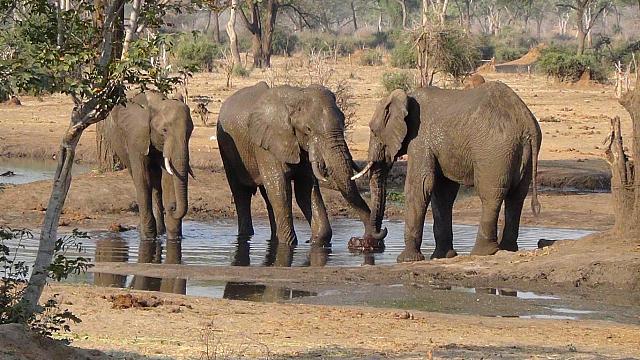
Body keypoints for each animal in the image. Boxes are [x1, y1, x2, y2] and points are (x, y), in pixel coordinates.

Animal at [105, 91, 192, 240]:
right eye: (164, 130)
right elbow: (143, 178)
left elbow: (169, 179)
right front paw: (148, 237)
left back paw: (161, 231)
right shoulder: (136, 137)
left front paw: (174, 237)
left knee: (157, 184)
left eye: (190, 131)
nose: (172, 207)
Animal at [216, 81, 384, 250]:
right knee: (241, 193)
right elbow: (281, 189)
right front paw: (288, 244)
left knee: (267, 196)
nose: (358, 240)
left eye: (343, 123)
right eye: (308, 129)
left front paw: (315, 241)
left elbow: (305, 190)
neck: (296, 97)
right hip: (227, 148)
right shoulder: (267, 144)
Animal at [358, 81, 544, 262]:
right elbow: (442, 193)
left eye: (373, 131)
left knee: (490, 195)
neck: (406, 96)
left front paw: (406, 260)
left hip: (494, 150)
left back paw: (482, 253)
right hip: (519, 152)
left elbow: (420, 186)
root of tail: (527, 122)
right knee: (516, 197)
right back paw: (508, 249)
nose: (382, 231)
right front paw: (441, 256)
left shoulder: (420, 138)